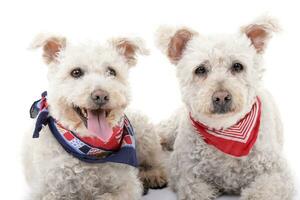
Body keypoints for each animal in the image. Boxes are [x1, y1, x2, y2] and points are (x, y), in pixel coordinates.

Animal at [23, 33, 168, 199]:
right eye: (76, 72)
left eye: (112, 72)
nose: (101, 96)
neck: (90, 149)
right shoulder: (47, 188)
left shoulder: (127, 185)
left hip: (144, 131)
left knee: (156, 159)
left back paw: (152, 175)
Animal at [156, 16, 294, 199]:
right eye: (200, 69)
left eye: (237, 66)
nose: (221, 97)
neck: (226, 129)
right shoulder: (183, 171)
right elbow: (193, 187)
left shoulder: (278, 173)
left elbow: (262, 190)